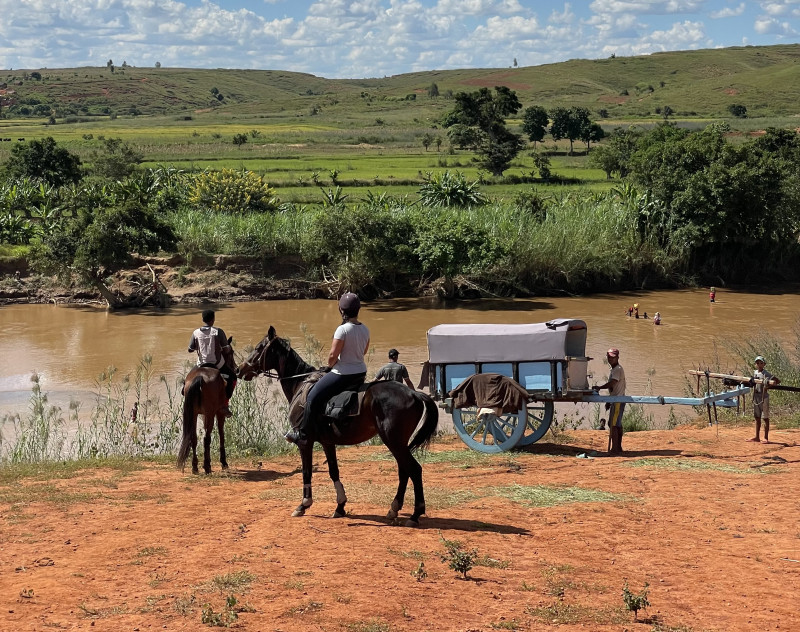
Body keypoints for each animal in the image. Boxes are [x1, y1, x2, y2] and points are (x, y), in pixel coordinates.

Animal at [239, 328, 438, 524]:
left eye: (259, 348)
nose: (239, 369)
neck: (300, 383)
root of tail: (414, 393)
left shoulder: (305, 442)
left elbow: (306, 472)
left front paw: (303, 505)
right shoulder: (328, 442)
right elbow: (333, 471)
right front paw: (340, 506)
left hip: (394, 441)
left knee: (414, 470)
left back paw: (415, 514)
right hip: (398, 443)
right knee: (404, 471)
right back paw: (394, 509)